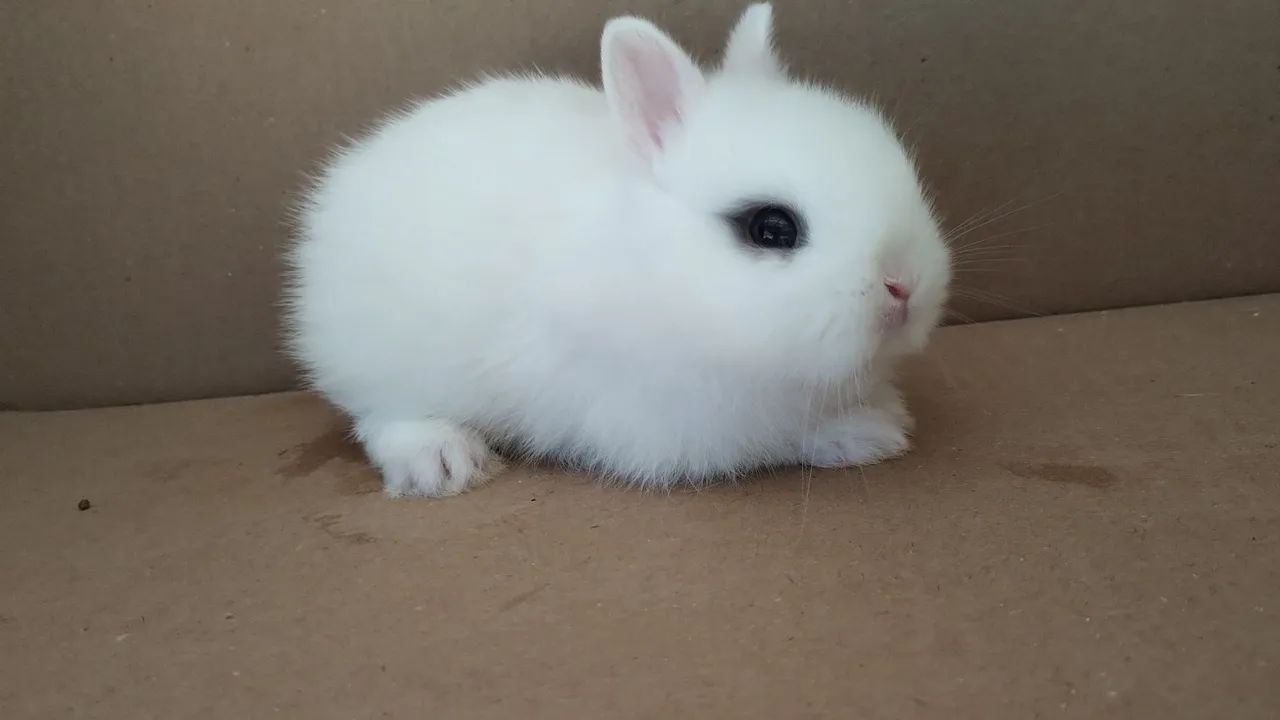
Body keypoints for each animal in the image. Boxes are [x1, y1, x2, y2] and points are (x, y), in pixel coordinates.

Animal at [285, 3, 951, 497]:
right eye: (770, 228)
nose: (905, 286)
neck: (654, 267)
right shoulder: (679, 424)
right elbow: (782, 438)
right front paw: (874, 431)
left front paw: (887, 414)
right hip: (384, 365)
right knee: (377, 416)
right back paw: (445, 462)